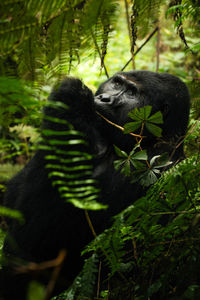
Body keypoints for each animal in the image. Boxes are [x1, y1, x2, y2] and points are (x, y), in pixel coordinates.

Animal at [0, 71, 191, 300]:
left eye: (132, 92)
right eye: (116, 82)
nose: (104, 99)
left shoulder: (146, 167)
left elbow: (34, 237)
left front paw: (71, 97)